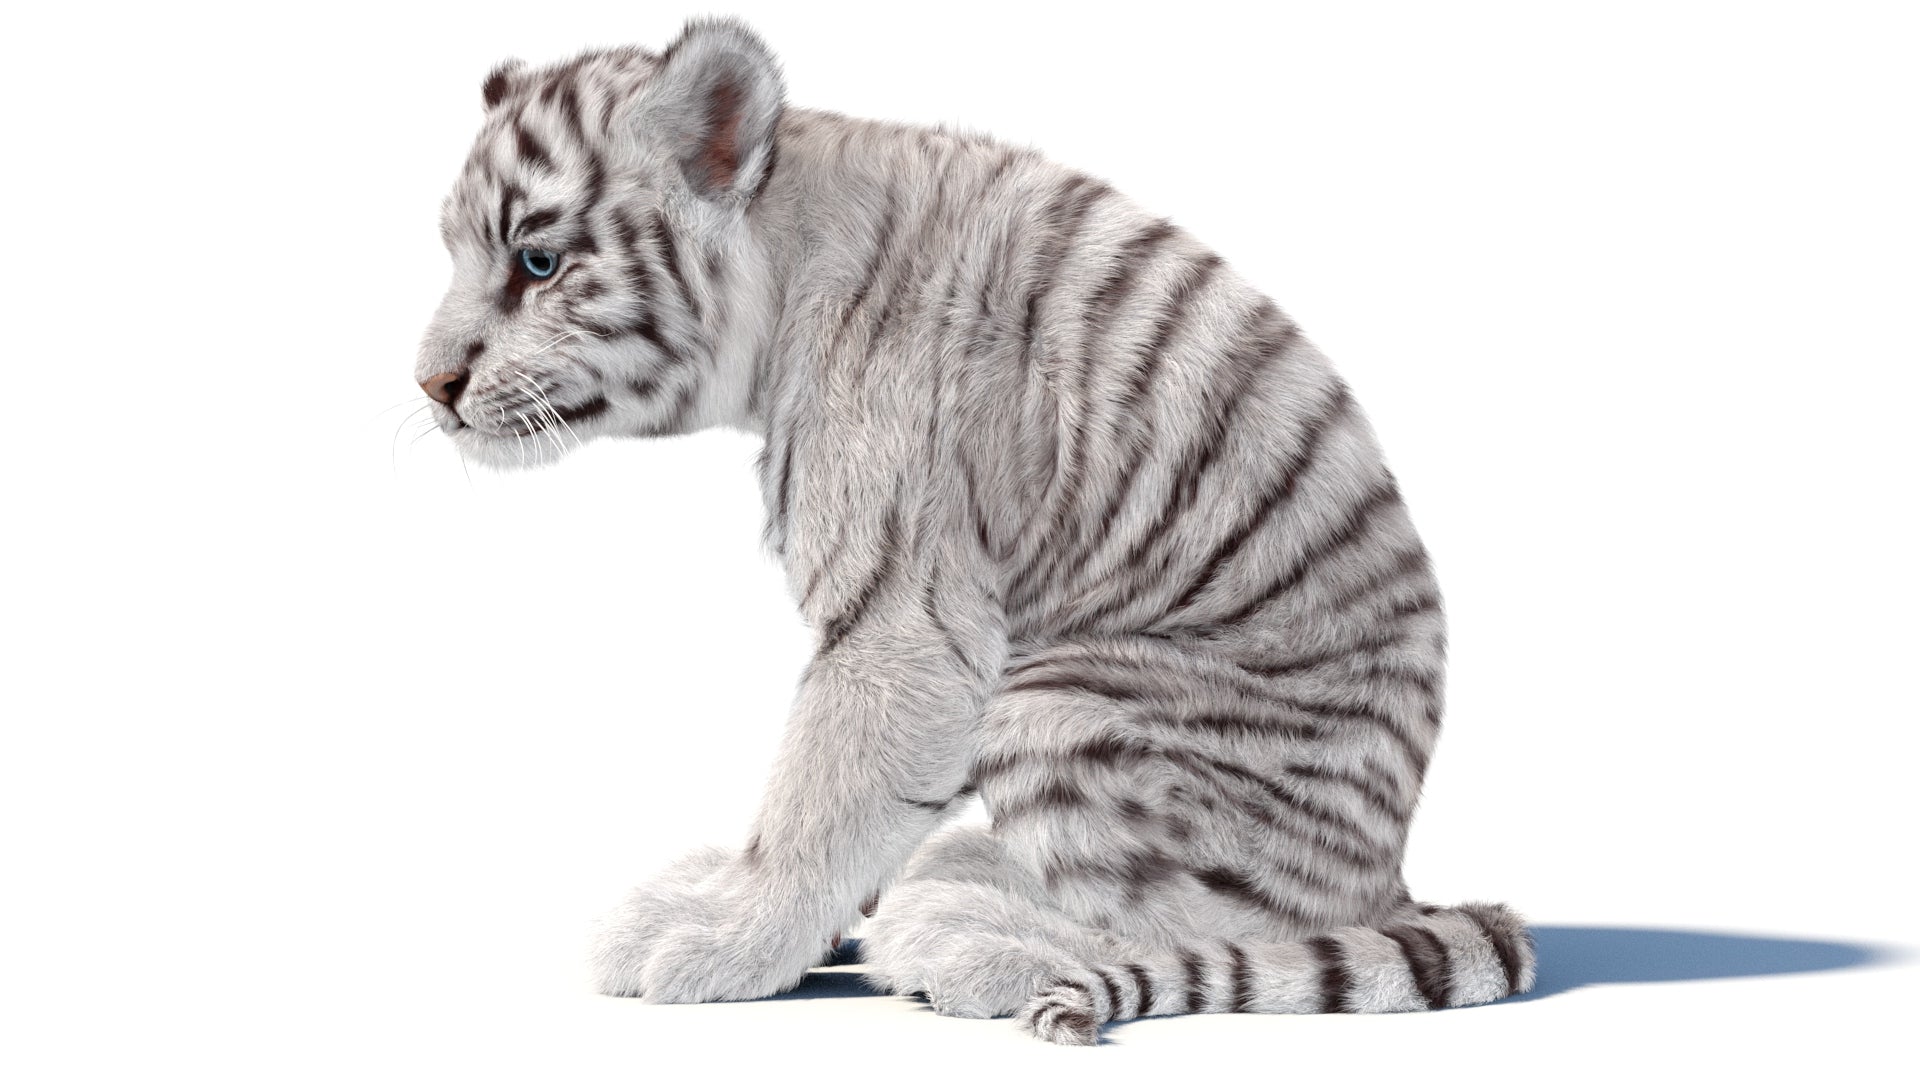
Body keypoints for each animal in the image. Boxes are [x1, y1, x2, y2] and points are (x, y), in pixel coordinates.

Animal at [414, 16, 1535, 1045]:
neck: (783, 262)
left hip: (1062, 702)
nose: (430, 386)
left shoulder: (906, 617)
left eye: (537, 262)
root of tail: (1391, 867)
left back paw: (963, 932)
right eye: (457, 253)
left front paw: (726, 941)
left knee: (1223, 923)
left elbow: (821, 795)